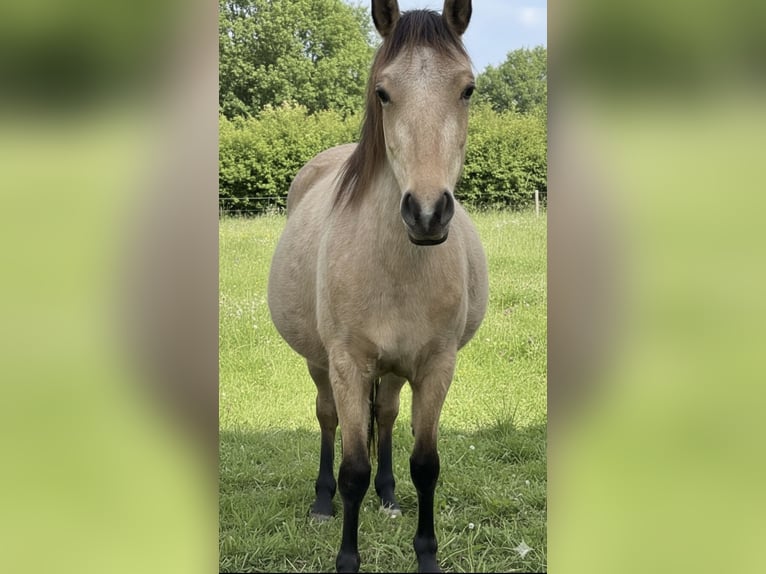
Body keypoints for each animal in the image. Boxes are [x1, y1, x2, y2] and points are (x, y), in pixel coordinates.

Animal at [267, 1, 487, 571]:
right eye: (383, 92)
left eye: (468, 89)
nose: (427, 213)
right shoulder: (347, 364)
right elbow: (352, 471)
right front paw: (347, 557)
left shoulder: (435, 366)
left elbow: (425, 464)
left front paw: (426, 555)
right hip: (320, 363)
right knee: (327, 421)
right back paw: (321, 504)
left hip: (392, 371)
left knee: (385, 419)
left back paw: (388, 497)